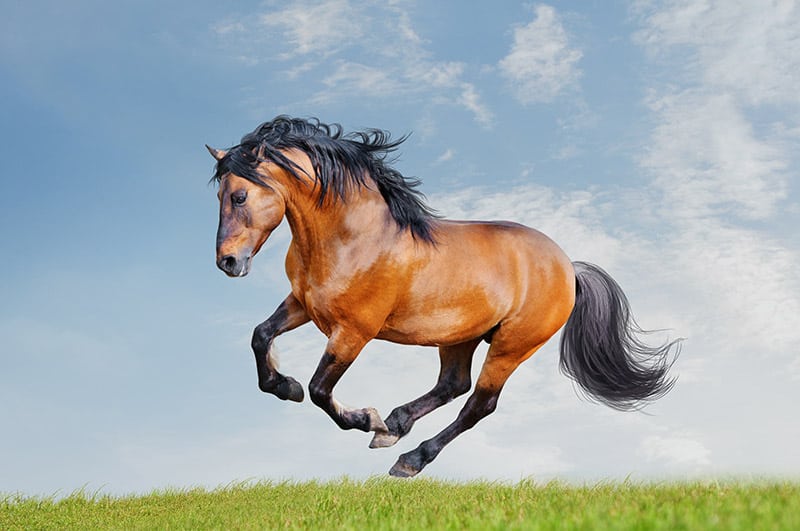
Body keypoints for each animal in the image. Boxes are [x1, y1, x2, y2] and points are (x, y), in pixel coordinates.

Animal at [208, 116, 681, 477]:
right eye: (219, 195)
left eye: (240, 195)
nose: (228, 262)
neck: (352, 237)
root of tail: (568, 267)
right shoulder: (303, 304)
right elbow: (260, 336)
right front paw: (284, 386)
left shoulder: (355, 331)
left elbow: (321, 389)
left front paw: (365, 418)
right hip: (460, 336)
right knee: (453, 384)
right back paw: (396, 425)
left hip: (512, 346)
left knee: (478, 404)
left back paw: (409, 457)